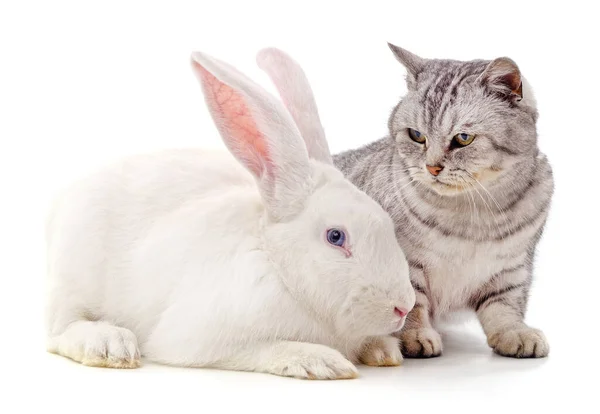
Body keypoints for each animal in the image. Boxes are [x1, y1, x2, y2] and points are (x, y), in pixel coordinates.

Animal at [44, 47, 414, 378]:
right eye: (335, 236)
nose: (404, 306)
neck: (278, 266)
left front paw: (384, 351)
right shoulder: (197, 338)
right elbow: (264, 349)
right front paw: (320, 360)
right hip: (75, 277)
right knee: (61, 329)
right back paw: (111, 344)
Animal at [332, 43, 552, 358]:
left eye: (463, 138)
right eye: (416, 135)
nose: (432, 167)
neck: (473, 215)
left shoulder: (512, 267)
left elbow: (506, 304)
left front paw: (514, 331)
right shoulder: (403, 264)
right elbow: (412, 303)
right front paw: (414, 335)